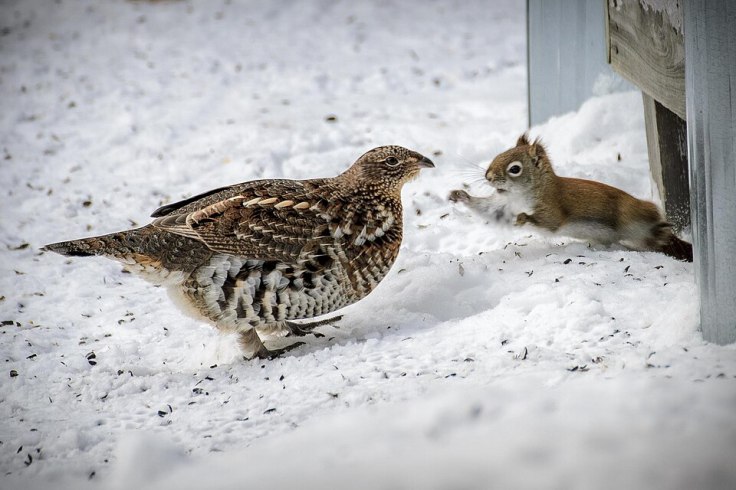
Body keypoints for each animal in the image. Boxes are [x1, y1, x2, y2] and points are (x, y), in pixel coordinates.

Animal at [449, 134, 693, 262]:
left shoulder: (552, 206)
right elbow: (489, 211)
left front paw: (523, 219)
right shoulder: (502, 205)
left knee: (655, 235)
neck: (520, 196)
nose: (488, 176)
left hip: (634, 221)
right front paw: (461, 195)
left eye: (515, 169)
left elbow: (550, 222)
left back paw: (660, 233)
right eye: (498, 154)